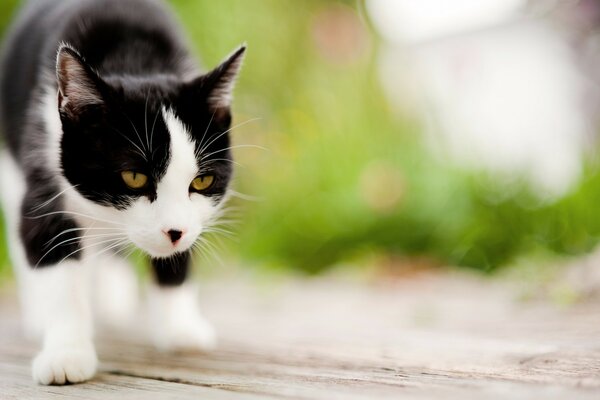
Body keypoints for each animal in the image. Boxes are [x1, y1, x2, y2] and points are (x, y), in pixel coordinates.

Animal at [0, 0, 246, 384]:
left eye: (202, 182)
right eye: (133, 177)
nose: (174, 231)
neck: (134, 60)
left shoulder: (192, 218)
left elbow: (178, 253)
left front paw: (179, 329)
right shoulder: (42, 164)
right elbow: (50, 253)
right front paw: (66, 353)